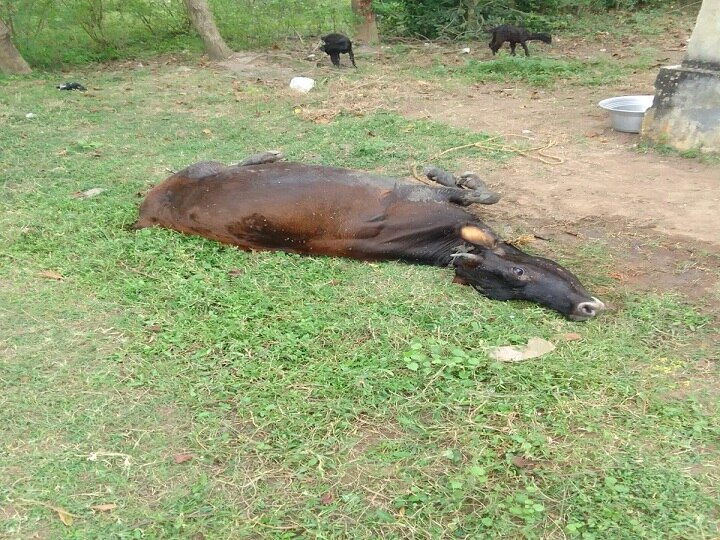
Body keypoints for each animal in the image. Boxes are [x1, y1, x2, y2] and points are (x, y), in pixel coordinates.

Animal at [138, 155, 604, 320]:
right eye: (518, 275)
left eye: (504, 290)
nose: (584, 310)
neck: (440, 242)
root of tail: (149, 210)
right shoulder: (428, 196)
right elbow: (478, 190)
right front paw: (453, 173)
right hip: (202, 167)